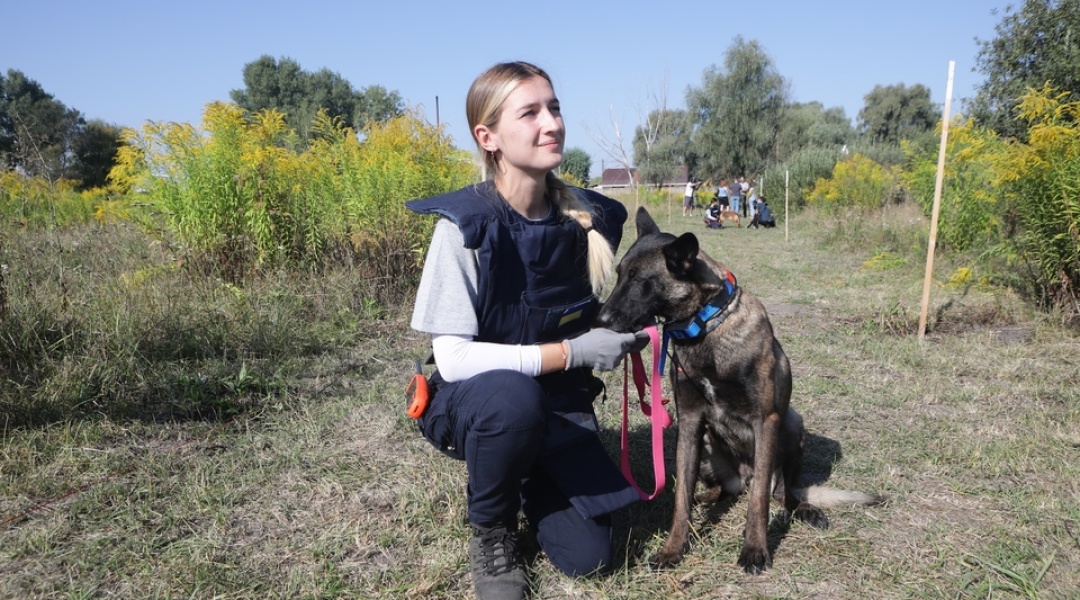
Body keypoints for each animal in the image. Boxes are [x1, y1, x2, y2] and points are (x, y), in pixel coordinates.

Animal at [596, 208, 881, 574]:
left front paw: (755, 549)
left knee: (782, 493)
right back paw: (708, 496)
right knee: (723, 491)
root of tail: (741, 477)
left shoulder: (766, 420)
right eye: (619, 275)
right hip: (707, 447)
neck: (705, 326)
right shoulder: (690, 422)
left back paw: (803, 508)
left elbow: (759, 500)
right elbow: (680, 497)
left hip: (792, 425)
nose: (600, 319)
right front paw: (673, 549)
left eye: (638, 280)